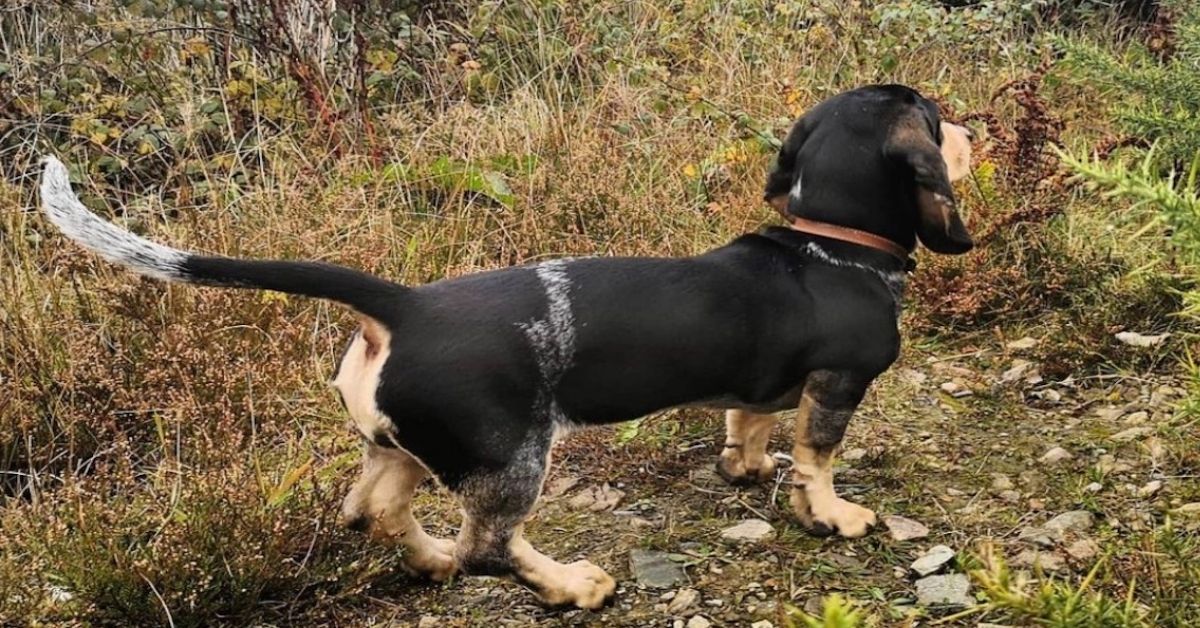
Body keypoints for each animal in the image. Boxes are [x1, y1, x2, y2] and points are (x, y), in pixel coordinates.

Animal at [39, 83, 974, 609]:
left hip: (406, 447)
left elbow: (750, 428)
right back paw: (570, 586)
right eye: (935, 117)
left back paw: (430, 565)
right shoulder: (840, 384)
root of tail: (404, 304)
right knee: (487, 548)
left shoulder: (763, 388)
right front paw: (835, 515)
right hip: (511, 456)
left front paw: (746, 468)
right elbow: (818, 460)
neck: (831, 242)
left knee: (378, 516)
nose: (974, 127)